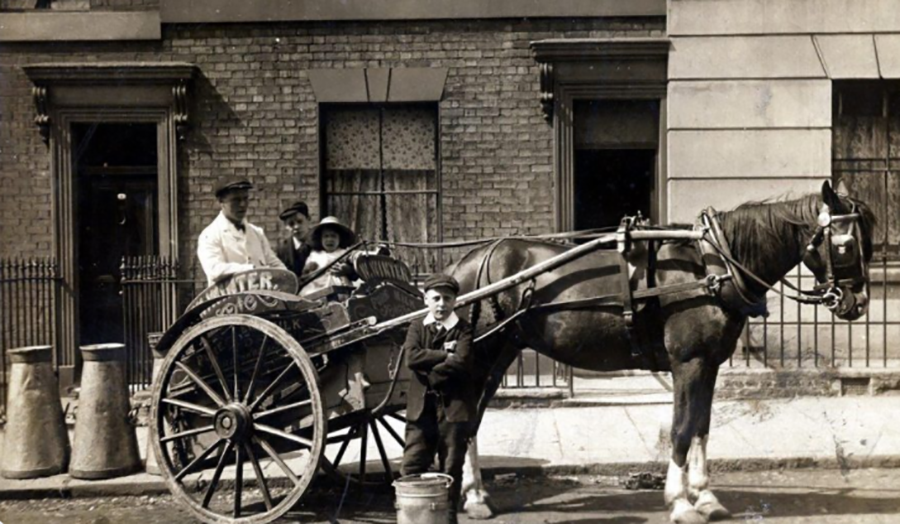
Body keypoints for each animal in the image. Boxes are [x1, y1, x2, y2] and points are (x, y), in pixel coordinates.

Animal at [450, 181, 872, 524]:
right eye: (846, 245)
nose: (858, 303)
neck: (714, 265)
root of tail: (464, 264)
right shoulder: (689, 362)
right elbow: (682, 429)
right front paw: (680, 503)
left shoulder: (709, 365)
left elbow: (702, 426)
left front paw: (705, 497)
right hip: (485, 351)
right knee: (468, 415)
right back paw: (472, 495)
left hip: (502, 351)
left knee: (473, 416)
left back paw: (474, 493)